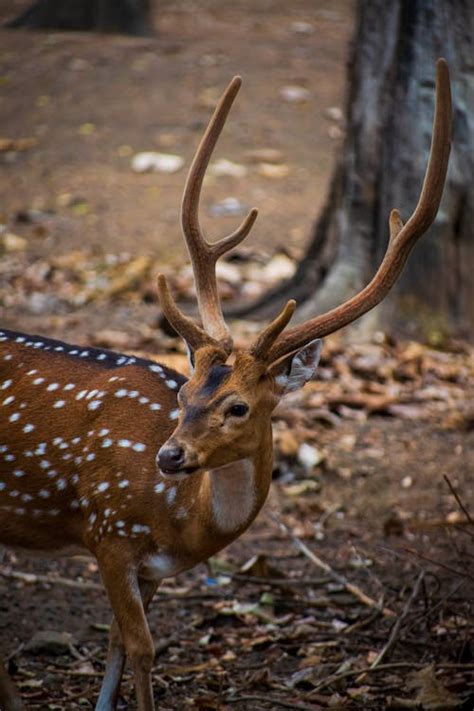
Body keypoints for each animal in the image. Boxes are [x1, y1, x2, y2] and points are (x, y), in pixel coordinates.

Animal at [0, 58, 452, 708]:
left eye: (237, 406)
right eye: (183, 395)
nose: (168, 456)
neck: (182, 525)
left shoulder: (145, 564)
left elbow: (116, 646)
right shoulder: (107, 529)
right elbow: (142, 649)